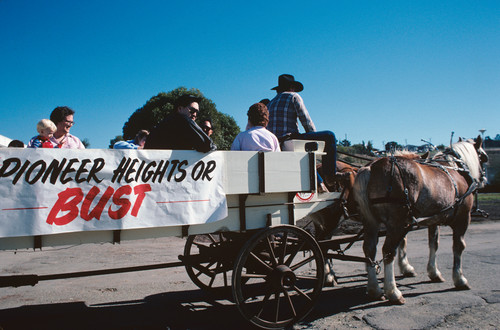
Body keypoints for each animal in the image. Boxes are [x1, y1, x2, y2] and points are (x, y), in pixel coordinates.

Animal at [352, 136, 488, 304]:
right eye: (484, 157)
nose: (484, 179)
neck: (456, 169)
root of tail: (371, 168)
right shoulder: (463, 218)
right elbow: (458, 247)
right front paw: (459, 279)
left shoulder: (434, 219)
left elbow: (433, 244)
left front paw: (434, 272)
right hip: (397, 222)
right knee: (388, 251)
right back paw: (393, 292)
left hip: (371, 222)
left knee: (370, 249)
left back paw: (374, 289)